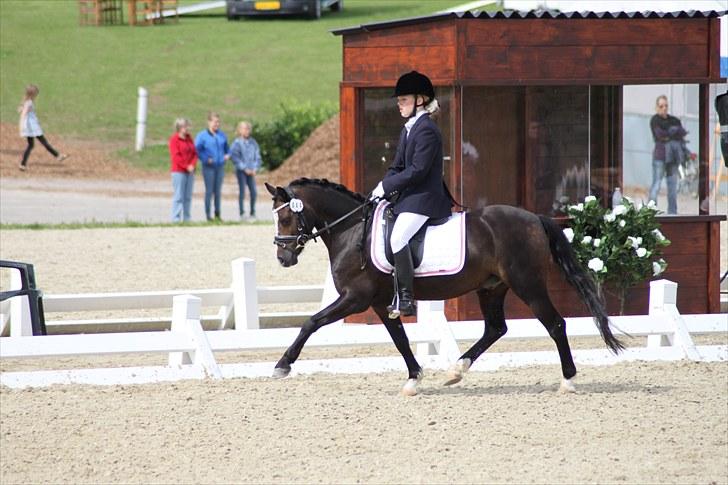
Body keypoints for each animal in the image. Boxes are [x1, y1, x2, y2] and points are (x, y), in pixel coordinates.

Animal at [265, 178, 624, 396]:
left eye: (285, 219)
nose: (283, 258)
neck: (353, 229)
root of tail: (535, 218)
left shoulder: (355, 298)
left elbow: (311, 322)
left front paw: (282, 365)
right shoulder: (380, 303)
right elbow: (400, 340)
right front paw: (413, 378)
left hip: (528, 285)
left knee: (555, 324)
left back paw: (568, 380)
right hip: (492, 287)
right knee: (495, 328)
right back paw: (456, 369)